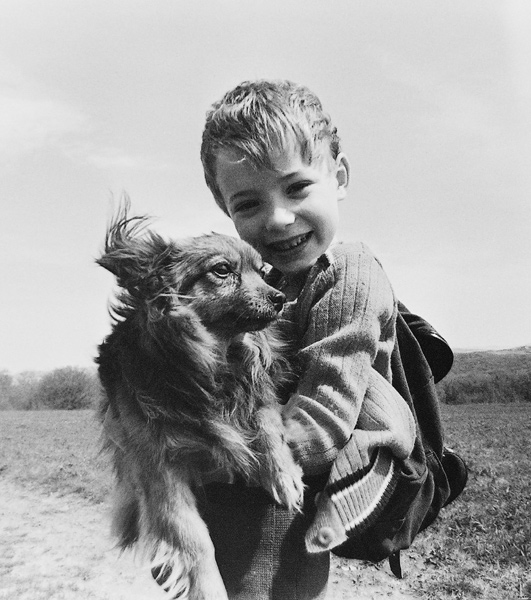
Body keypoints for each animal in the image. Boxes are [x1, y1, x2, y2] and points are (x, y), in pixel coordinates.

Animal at [95, 207, 304, 600]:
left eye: (263, 272)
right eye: (222, 270)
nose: (280, 297)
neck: (213, 363)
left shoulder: (259, 396)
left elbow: (269, 425)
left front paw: (283, 474)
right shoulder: (159, 467)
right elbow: (194, 540)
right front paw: (208, 587)